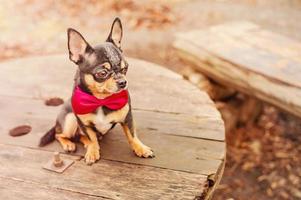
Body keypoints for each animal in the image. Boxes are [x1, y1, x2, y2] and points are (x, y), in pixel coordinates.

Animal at [38, 17, 154, 164]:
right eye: (102, 73)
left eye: (125, 68)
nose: (123, 82)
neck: (101, 100)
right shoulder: (84, 123)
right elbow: (91, 137)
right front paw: (93, 152)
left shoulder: (127, 118)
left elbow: (132, 135)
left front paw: (141, 148)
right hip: (70, 120)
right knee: (59, 135)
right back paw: (70, 144)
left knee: (80, 136)